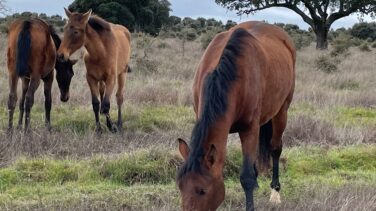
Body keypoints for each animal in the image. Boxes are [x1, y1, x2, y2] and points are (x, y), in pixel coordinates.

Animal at [178, 21, 296, 211]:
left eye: (203, 190)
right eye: (180, 187)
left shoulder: (249, 129)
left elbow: (246, 177)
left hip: (282, 111)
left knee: (275, 148)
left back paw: (275, 193)